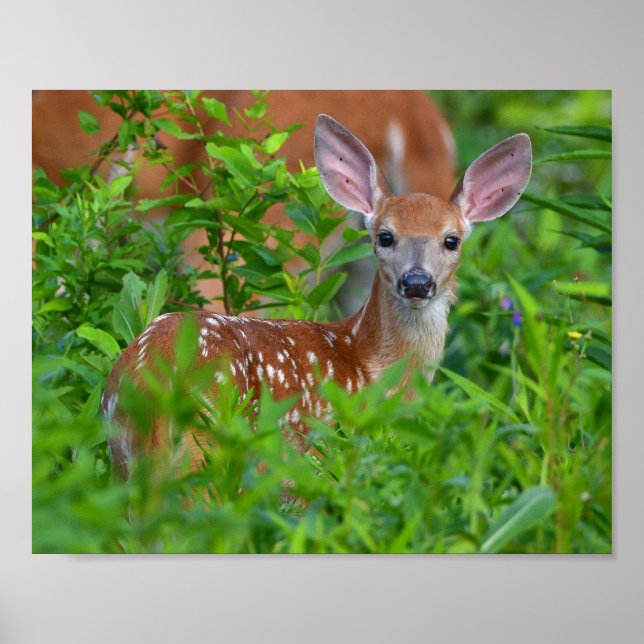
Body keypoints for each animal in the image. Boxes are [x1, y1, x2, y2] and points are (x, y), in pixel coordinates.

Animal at [101, 114, 532, 479]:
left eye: (451, 240)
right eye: (385, 237)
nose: (416, 282)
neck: (367, 363)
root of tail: (152, 380)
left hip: (124, 454)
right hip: (208, 444)